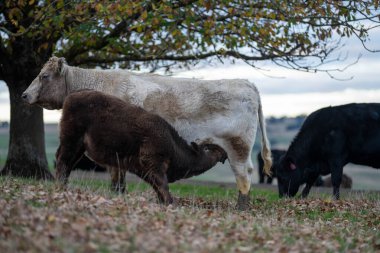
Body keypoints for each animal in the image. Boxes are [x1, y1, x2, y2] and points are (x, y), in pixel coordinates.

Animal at [22, 57, 272, 210]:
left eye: (44, 76)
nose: (24, 95)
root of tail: (247, 83)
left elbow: (117, 176)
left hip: (238, 149)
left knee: (244, 177)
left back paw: (240, 208)